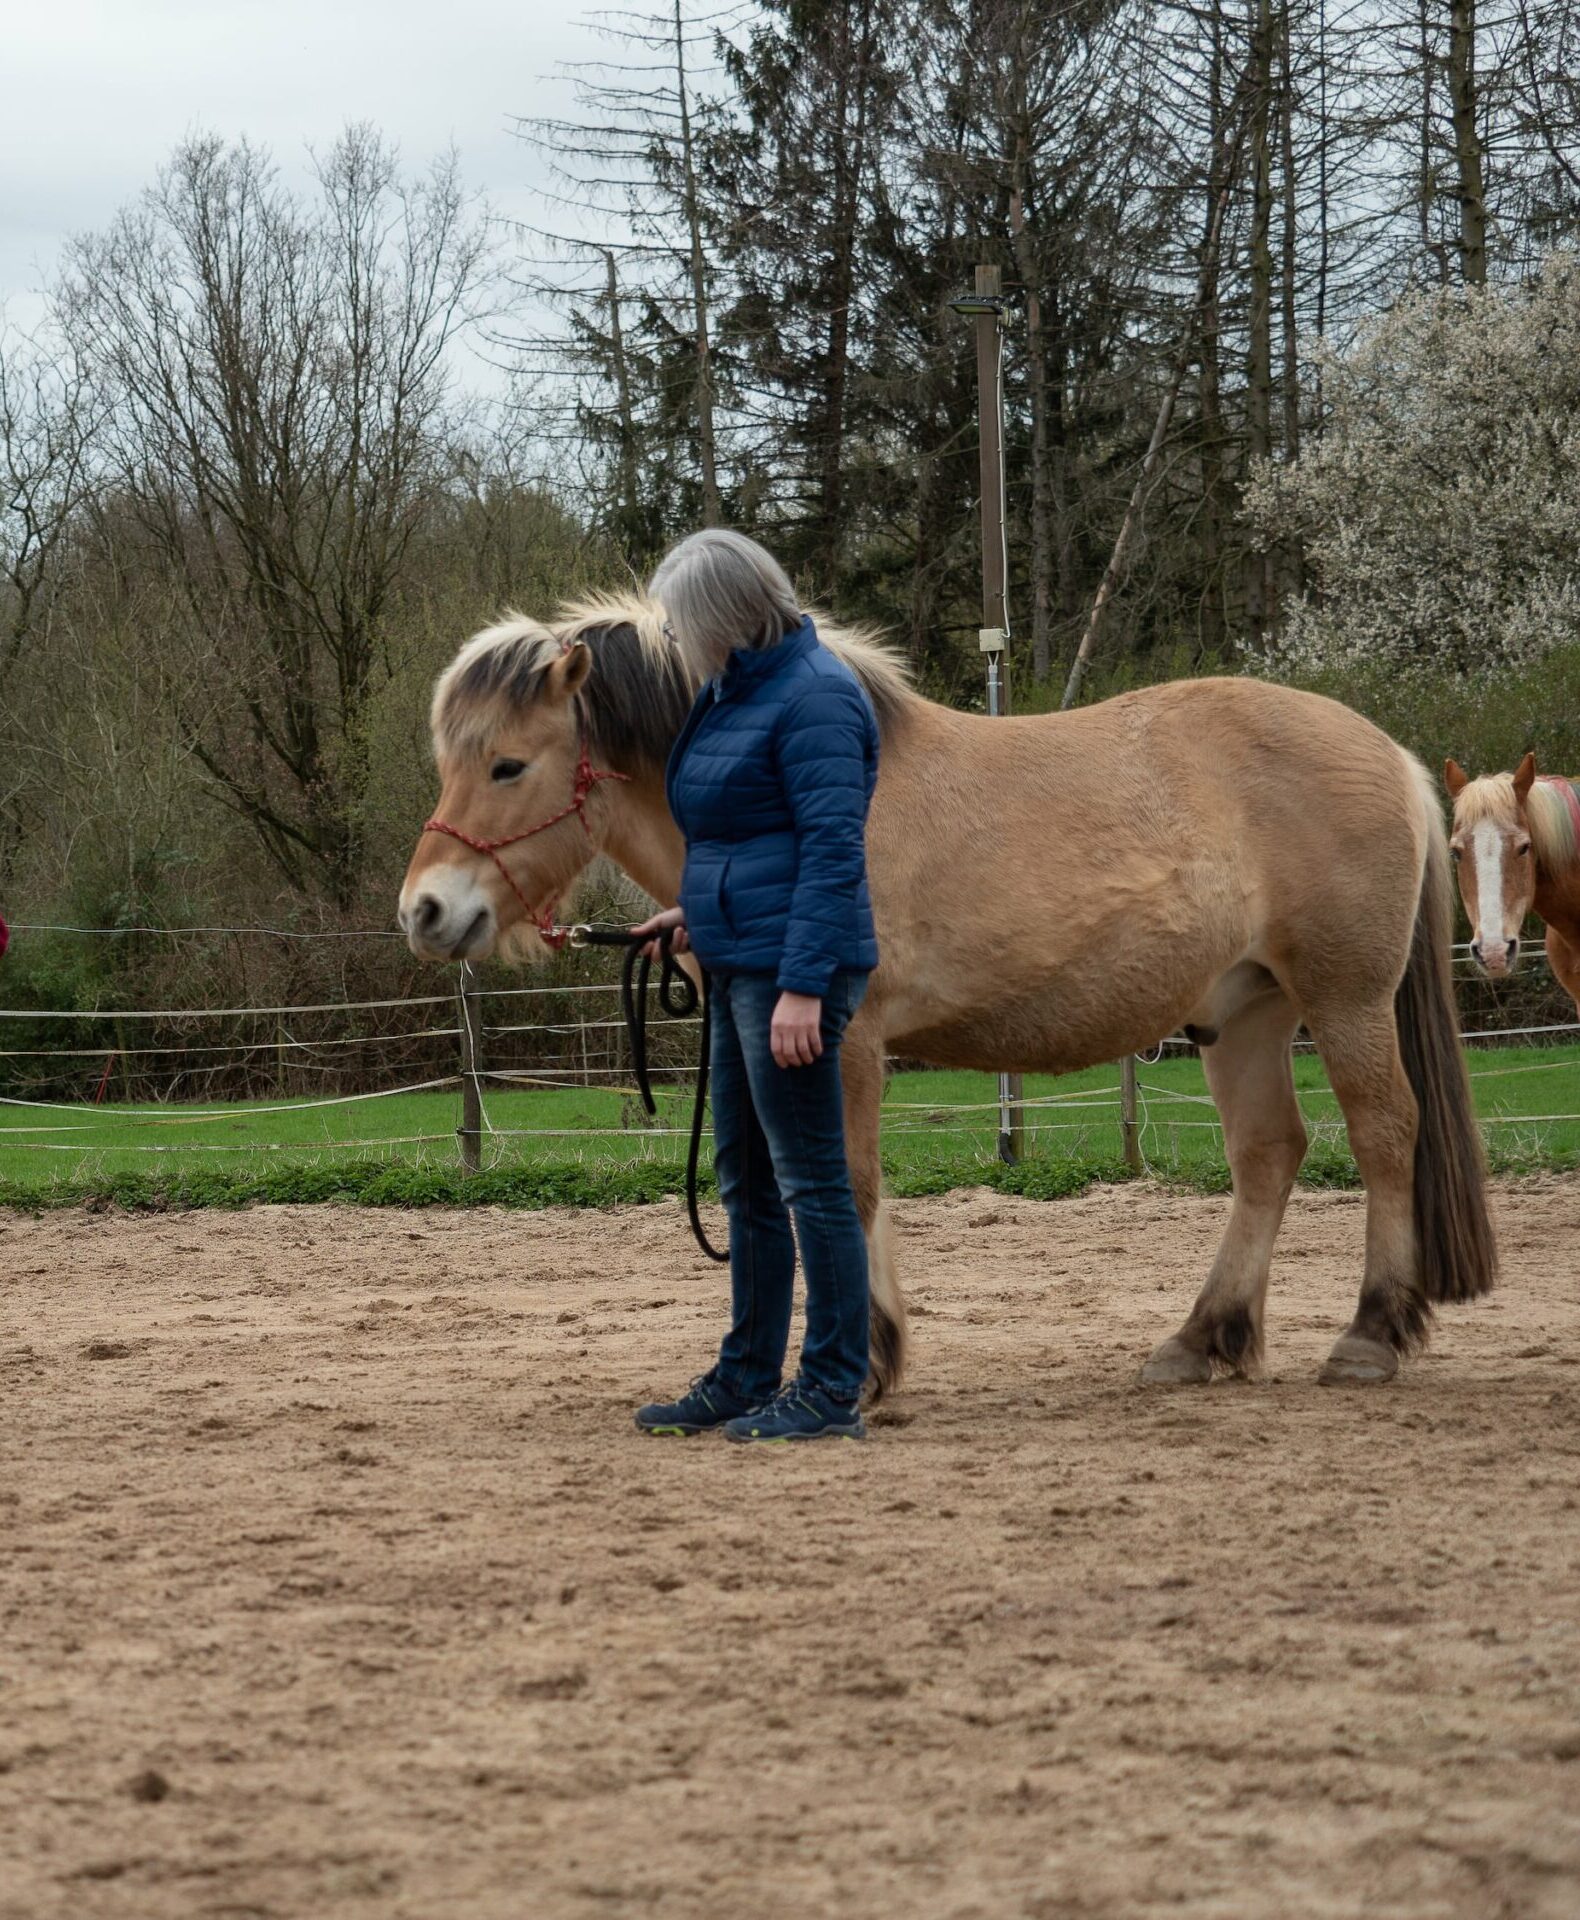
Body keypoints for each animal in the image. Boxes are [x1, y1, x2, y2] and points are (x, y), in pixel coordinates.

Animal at [395, 599, 1497, 1397]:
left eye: (508, 764)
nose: (425, 910)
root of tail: (1389, 755)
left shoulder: (839, 1039)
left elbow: (846, 1186)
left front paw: (861, 1365)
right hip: (1244, 1012)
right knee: (1268, 1156)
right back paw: (1202, 1340)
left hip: (1344, 1000)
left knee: (1384, 1135)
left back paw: (1369, 1335)